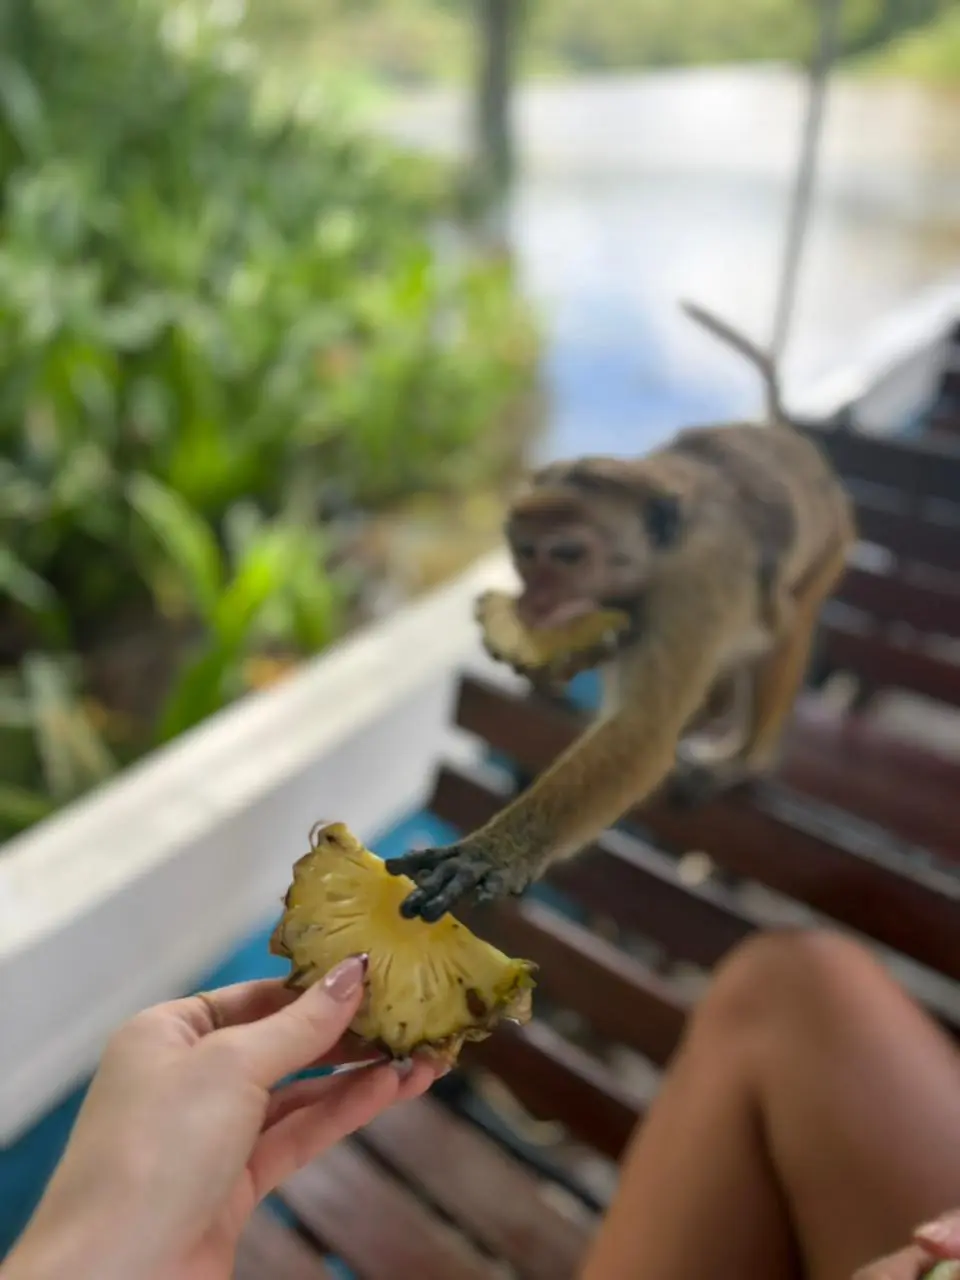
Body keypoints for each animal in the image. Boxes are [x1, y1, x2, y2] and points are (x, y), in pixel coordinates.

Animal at [386, 299, 857, 923]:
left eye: (566, 555)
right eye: (524, 551)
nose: (533, 599)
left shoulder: (694, 584)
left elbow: (643, 734)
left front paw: (491, 853)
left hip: (831, 548)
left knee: (785, 633)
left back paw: (742, 759)